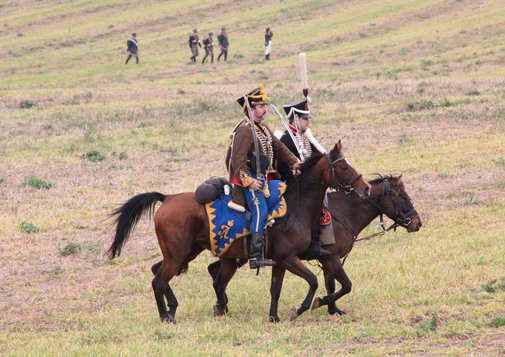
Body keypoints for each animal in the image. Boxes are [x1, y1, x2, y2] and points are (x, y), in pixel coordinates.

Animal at [107, 142, 370, 322]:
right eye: (343, 166)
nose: (365, 187)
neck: (295, 208)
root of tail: (167, 198)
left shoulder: (280, 261)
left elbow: (276, 289)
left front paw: (274, 317)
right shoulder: (289, 258)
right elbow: (314, 282)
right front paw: (302, 308)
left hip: (186, 253)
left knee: (159, 273)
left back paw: (177, 308)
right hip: (178, 255)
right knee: (158, 280)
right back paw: (166, 316)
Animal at [206, 175, 422, 318]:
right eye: (401, 195)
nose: (417, 223)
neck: (344, 213)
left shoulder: (326, 261)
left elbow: (332, 285)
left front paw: (333, 310)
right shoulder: (331, 258)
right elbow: (345, 285)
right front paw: (318, 303)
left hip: (234, 259)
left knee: (214, 272)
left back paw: (220, 305)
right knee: (218, 277)